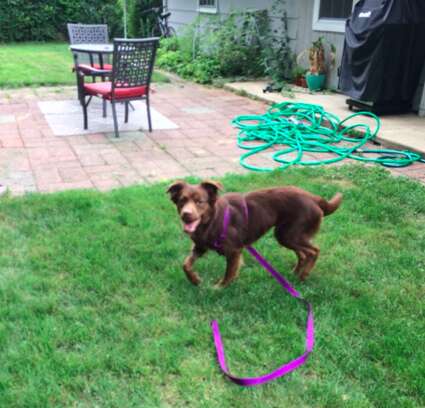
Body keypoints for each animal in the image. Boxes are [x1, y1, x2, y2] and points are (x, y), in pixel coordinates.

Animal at [166, 180, 342, 288]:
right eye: (182, 201)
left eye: (199, 202)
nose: (186, 214)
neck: (212, 220)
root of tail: (315, 198)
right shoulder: (200, 246)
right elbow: (185, 264)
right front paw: (195, 280)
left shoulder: (234, 250)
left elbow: (229, 273)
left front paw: (218, 288)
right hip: (286, 234)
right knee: (303, 254)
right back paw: (295, 273)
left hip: (289, 234)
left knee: (313, 251)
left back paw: (303, 275)